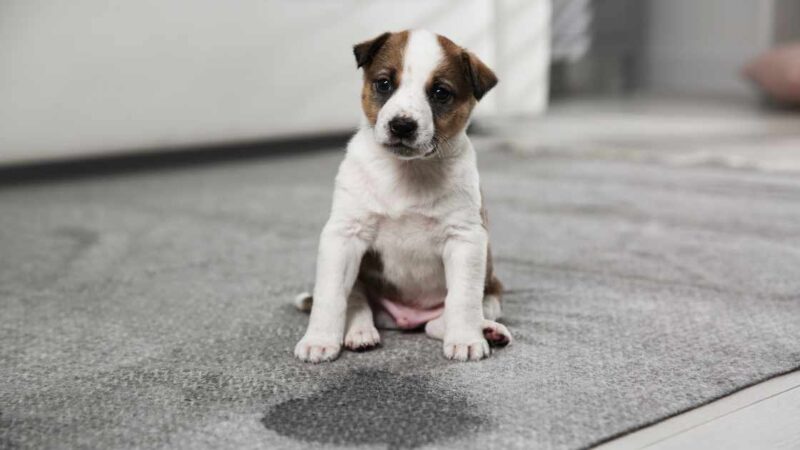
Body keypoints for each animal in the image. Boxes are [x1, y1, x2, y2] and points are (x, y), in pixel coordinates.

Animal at [296, 29, 512, 362]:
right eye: (384, 84)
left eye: (440, 93)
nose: (402, 125)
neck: (407, 171)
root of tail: (406, 317)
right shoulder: (343, 235)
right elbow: (330, 297)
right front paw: (319, 340)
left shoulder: (465, 239)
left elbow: (462, 299)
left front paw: (466, 339)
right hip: (359, 277)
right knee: (357, 302)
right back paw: (360, 333)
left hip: (491, 290)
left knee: (446, 319)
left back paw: (488, 330)